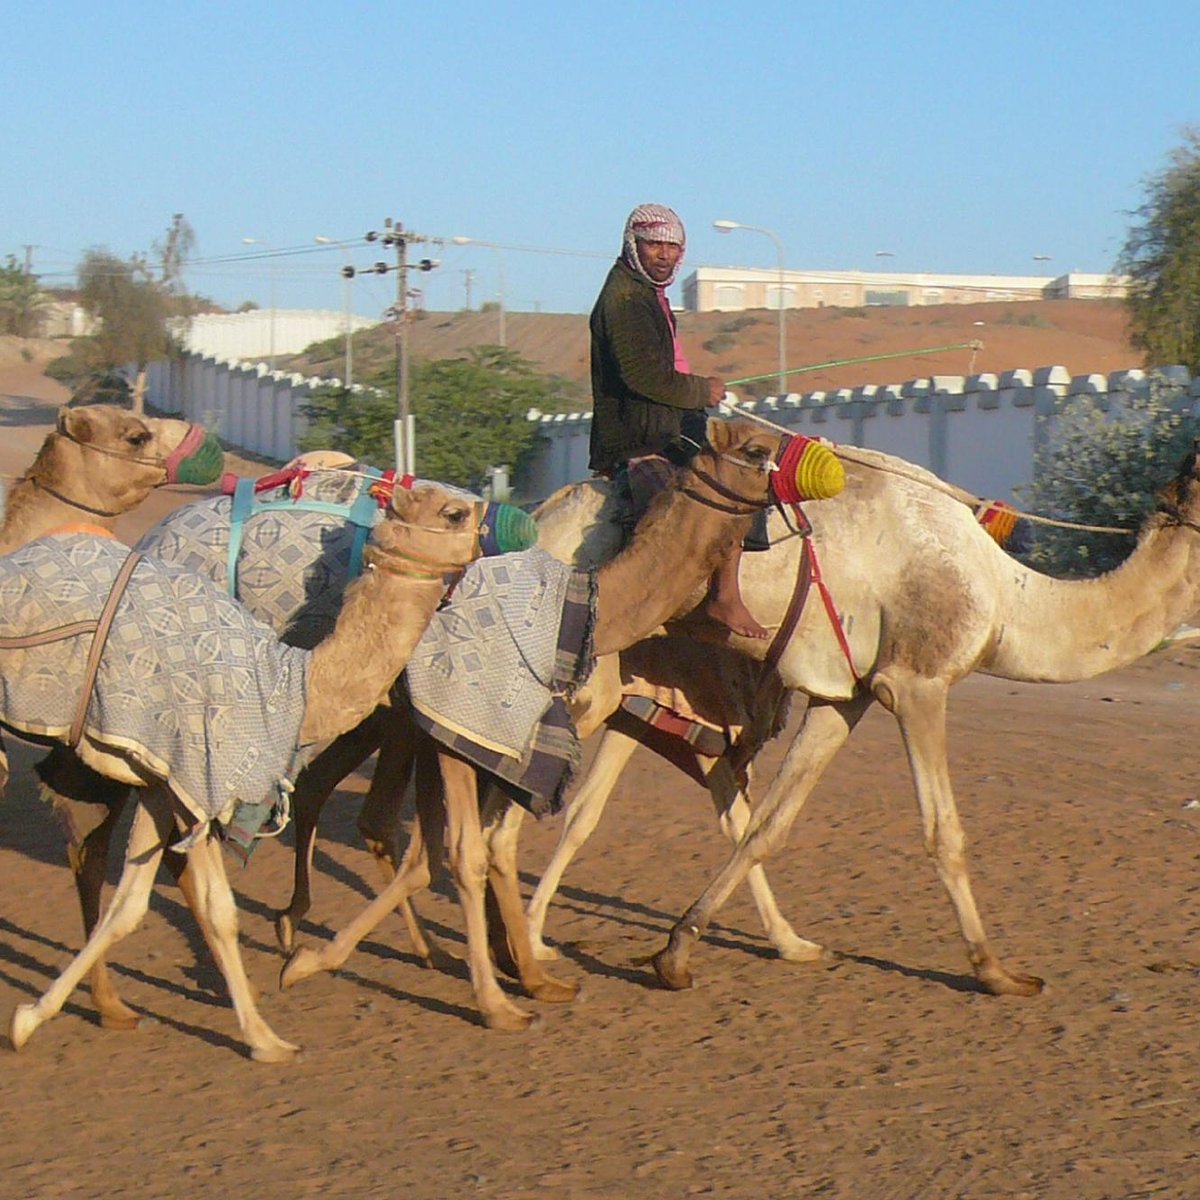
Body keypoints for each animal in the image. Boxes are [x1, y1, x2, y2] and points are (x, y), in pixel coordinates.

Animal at [276, 417, 801, 1027]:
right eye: (757, 449)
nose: (820, 469)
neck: (582, 605)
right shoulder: (467, 724)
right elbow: (471, 850)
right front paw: (503, 993)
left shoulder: (519, 732)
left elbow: (485, 844)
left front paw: (531, 973)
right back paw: (305, 939)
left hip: (380, 719)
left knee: (351, 805)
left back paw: (347, 938)